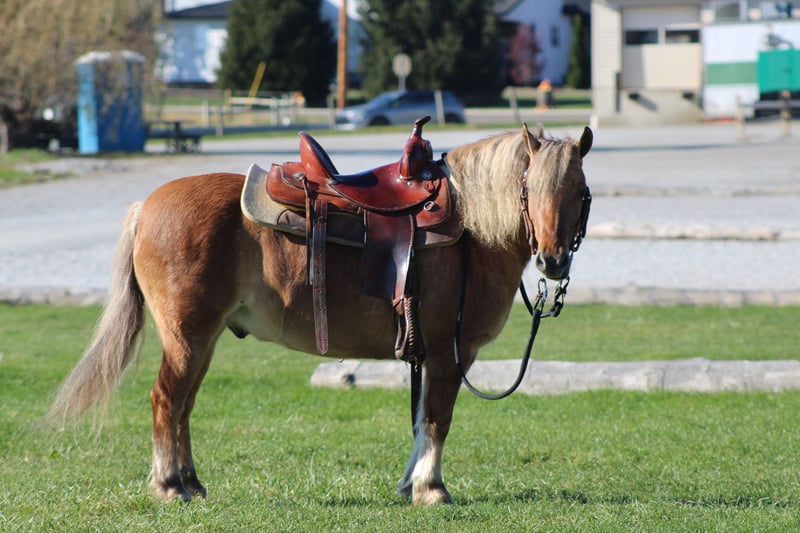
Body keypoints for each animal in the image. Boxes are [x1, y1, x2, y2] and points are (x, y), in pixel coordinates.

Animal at [50, 124, 593, 505]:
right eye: (530, 189)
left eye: (581, 194)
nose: (552, 260)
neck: (471, 230)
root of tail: (146, 207)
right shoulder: (447, 354)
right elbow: (438, 418)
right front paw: (431, 489)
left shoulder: (431, 356)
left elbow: (421, 420)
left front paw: (410, 484)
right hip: (187, 337)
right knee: (166, 400)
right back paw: (168, 486)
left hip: (202, 341)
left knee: (183, 404)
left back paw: (191, 482)